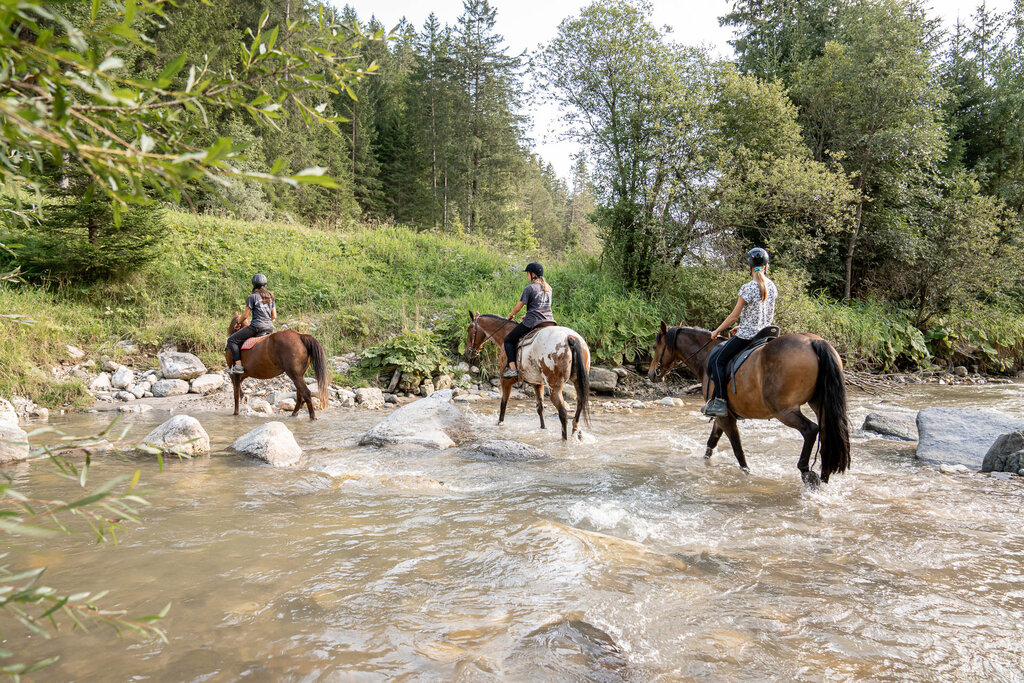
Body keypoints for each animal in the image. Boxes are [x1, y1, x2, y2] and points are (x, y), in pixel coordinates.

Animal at [465, 311, 591, 440]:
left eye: (468, 329)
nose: (468, 352)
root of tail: (570, 338)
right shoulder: (538, 383)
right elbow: (540, 408)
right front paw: (543, 428)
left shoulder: (505, 381)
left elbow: (503, 404)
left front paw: (500, 423)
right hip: (577, 381)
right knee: (580, 404)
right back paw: (575, 431)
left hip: (554, 387)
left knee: (563, 412)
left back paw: (564, 439)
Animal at [648, 322, 850, 485]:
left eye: (655, 346)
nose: (651, 374)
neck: (706, 357)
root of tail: (813, 342)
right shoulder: (722, 416)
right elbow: (711, 443)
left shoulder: (726, 418)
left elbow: (737, 449)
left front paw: (747, 474)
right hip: (818, 404)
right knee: (826, 434)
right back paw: (824, 475)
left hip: (784, 410)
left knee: (811, 429)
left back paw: (806, 471)